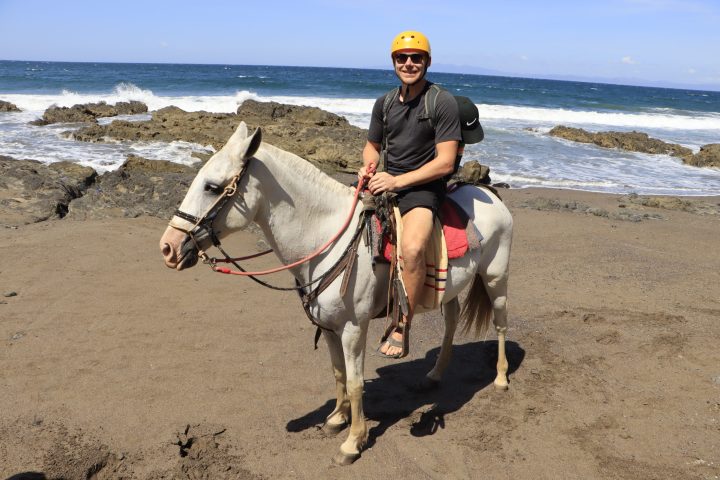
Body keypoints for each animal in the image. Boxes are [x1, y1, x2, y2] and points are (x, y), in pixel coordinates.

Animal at [159, 121, 513, 465]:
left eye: (212, 187)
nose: (168, 247)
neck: (327, 238)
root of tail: (489, 193)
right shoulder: (329, 327)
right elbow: (338, 372)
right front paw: (337, 419)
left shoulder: (354, 328)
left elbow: (356, 383)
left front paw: (353, 441)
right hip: (450, 290)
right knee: (451, 323)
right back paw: (435, 375)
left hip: (495, 278)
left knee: (500, 324)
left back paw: (500, 378)